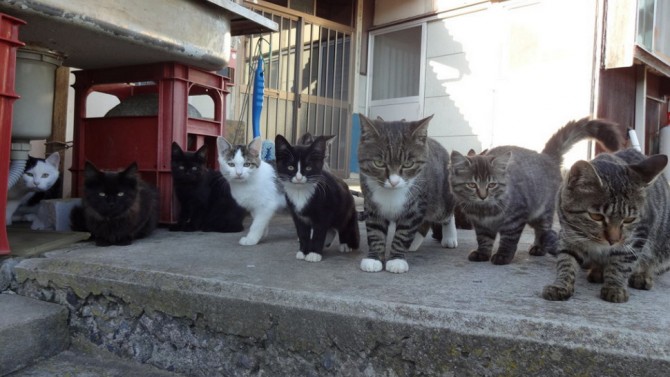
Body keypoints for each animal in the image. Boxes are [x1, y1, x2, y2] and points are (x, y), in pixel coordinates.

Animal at [274, 132, 360, 262]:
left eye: (308, 168)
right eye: (290, 167)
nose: (299, 178)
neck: (301, 192)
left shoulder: (323, 213)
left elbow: (318, 233)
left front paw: (314, 254)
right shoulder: (297, 215)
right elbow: (302, 233)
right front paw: (303, 251)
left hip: (345, 209)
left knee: (345, 224)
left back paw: (345, 244)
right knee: (331, 229)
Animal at [360, 114, 460, 274]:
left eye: (408, 164)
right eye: (378, 163)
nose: (394, 181)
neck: (391, 192)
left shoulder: (416, 204)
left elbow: (404, 232)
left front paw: (396, 260)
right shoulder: (371, 204)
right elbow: (375, 231)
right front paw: (373, 259)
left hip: (440, 198)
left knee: (447, 213)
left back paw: (449, 237)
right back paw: (414, 244)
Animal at [448, 116, 628, 262]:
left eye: (492, 184)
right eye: (472, 185)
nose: (483, 196)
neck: (485, 210)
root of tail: (546, 156)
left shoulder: (515, 217)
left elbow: (509, 239)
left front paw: (503, 256)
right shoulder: (480, 224)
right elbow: (484, 239)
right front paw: (482, 254)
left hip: (542, 212)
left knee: (543, 231)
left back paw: (539, 248)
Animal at [544, 148, 670, 302]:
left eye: (629, 219)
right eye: (596, 216)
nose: (613, 240)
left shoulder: (637, 235)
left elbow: (621, 263)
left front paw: (614, 287)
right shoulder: (569, 235)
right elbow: (566, 260)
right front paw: (561, 285)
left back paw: (642, 275)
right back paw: (597, 271)